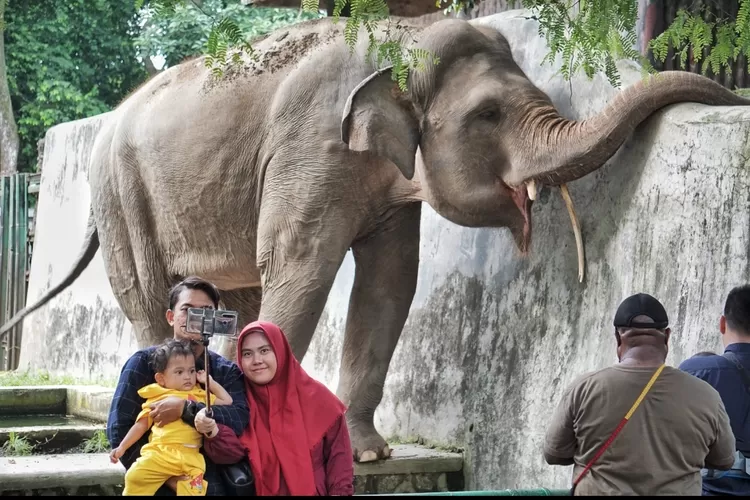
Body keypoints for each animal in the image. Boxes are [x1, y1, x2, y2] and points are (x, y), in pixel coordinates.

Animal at [1, 15, 750, 462]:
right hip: (120, 193)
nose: (731, 93)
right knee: (147, 292)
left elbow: (390, 284)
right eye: (487, 115)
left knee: (235, 297)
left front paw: (368, 454)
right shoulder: (310, 147)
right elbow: (302, 266)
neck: (403, 39)